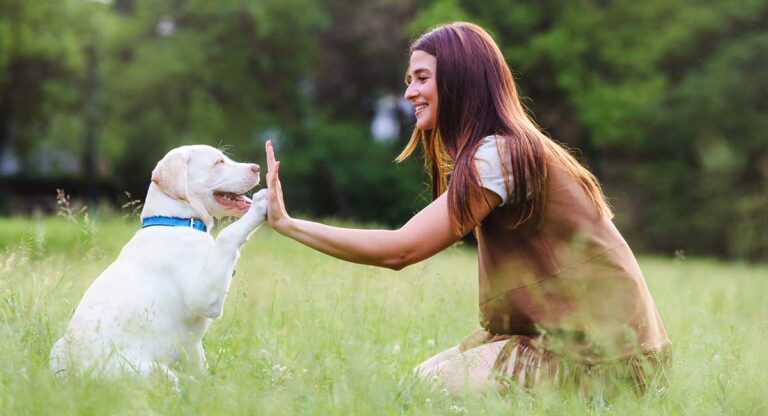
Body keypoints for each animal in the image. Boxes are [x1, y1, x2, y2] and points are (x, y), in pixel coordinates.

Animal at [50, 145, 268, 384]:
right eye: (219, 162)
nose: (257, 167)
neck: (175, 222)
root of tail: (78, 376)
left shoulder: (192, 344)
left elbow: (199, 363)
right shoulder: (204, 296)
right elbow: (227, 235)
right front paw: (261, 204)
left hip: (57, 348)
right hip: (152, 372)